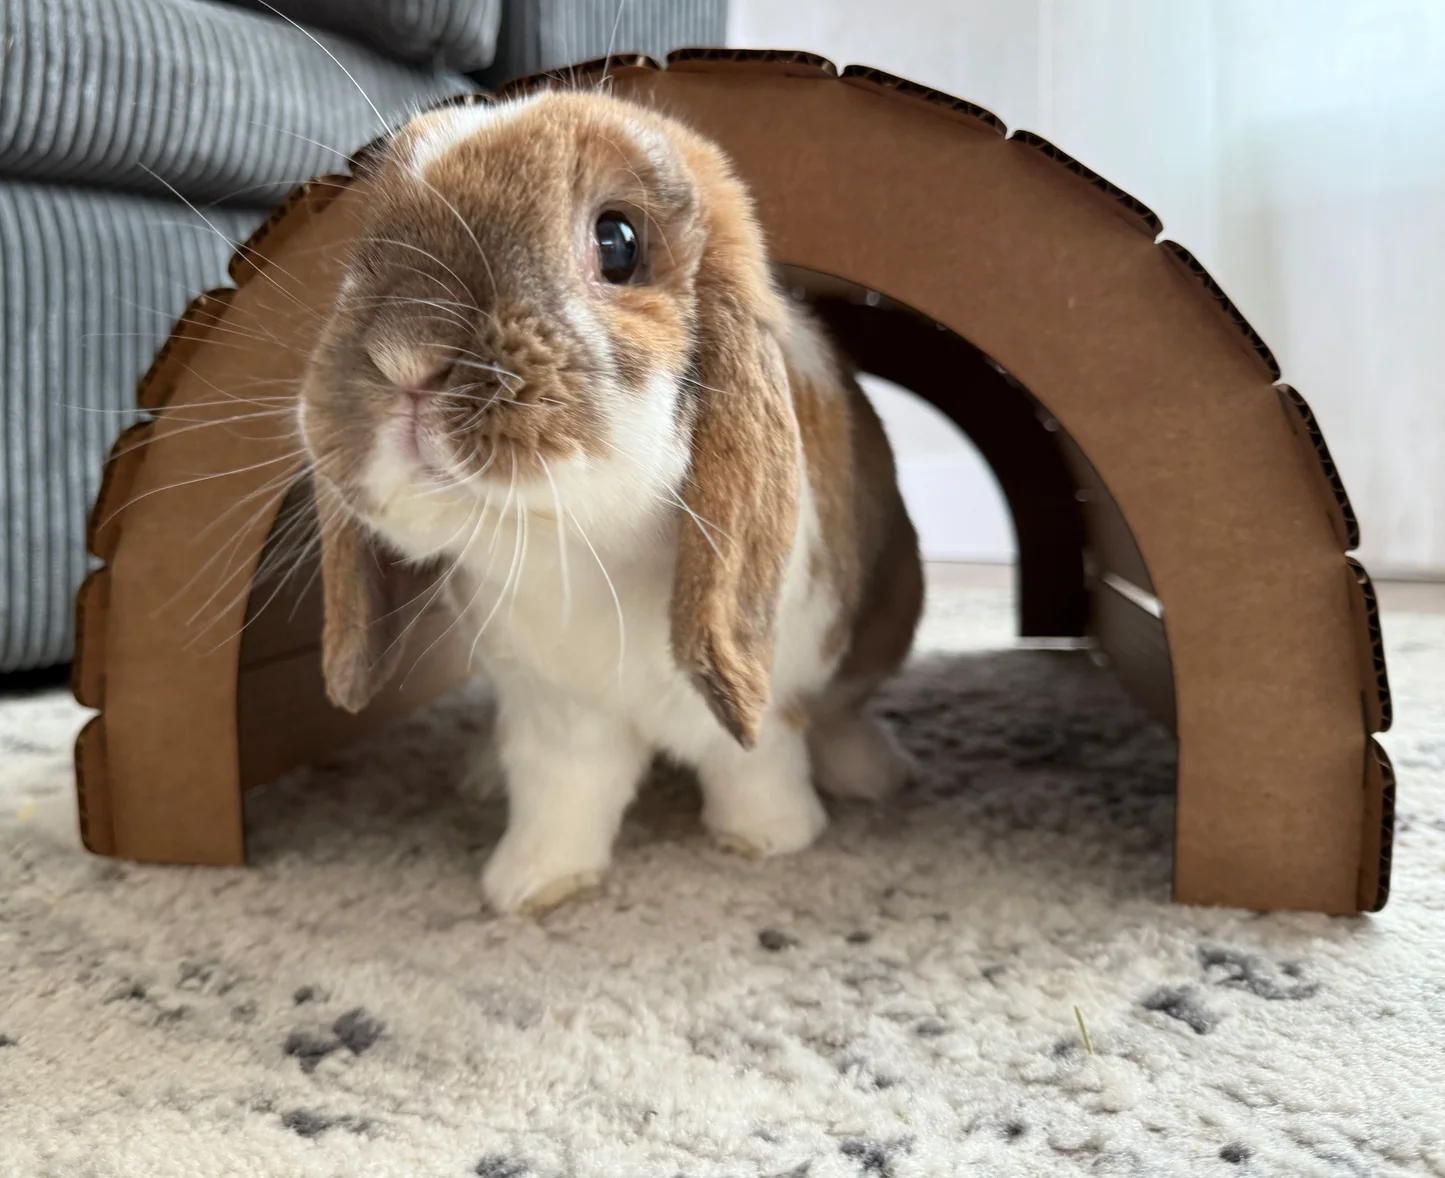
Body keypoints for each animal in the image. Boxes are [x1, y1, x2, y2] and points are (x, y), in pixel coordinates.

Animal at [297, 89, 924, 914]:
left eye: (618, 241)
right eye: (364, 242)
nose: (405, 356)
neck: (578, 549)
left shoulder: (776, 675)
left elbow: (754, 757)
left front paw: (769, 839)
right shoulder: (553, 713)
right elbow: (562, 791)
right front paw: (530, 884)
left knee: (843, 710)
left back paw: (871, 774)